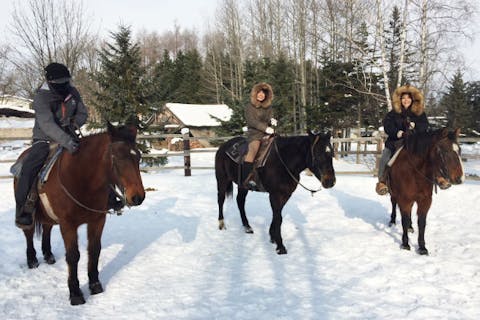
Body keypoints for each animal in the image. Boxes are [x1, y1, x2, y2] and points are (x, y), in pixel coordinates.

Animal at [13, 122, 144, 304]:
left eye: (138, 157)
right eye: (117, 157)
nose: (137, 197)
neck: (81, 179)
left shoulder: (97, 220)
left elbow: (94, 251)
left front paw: (95, 285)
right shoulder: (68, 225)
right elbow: (73, 256)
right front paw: (75, 293)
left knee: (47, 228)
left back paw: (48, 255)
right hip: (28, 214)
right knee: (29, 233)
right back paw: (32, 260)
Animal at [390, 127, 464, 255]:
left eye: (459, 150)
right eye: (444, 151)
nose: (459, 178)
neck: (415, 173)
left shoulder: (425, 201)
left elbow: (422, 223)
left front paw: (422, 247)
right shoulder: (404, 199)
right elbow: (404, 220)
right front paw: (405, 244)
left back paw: (410, 227)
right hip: (394, 194)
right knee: (394, 204)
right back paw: (393, 221)